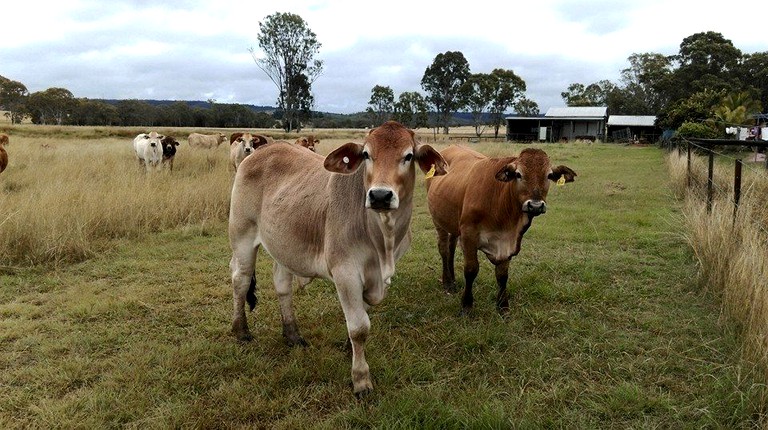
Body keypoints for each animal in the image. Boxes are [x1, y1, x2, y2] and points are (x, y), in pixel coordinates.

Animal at [225, 120, 448, 396]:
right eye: (366, 154)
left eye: (408, 156)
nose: (380, 196)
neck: (381, 238)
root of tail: (259, 151)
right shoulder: (346, 272)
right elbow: (359, 327)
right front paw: (361, 380)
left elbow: (361, 315)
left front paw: (348, 348)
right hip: (242, 236)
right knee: (241, 279)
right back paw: (241, 330)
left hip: (284, 245)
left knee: (282, 285)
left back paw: (292, 334)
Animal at [426, 144, 576, 312]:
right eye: (518, 174)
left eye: (549, 175)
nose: (535, 205)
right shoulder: (468, 234)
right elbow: (471, 270)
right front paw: (466, 305)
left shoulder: (508, 243)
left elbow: (502, 275)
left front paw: (503, 307)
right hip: (438, 221)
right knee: (444, 249)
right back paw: (447, 282)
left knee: (451, 248)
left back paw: (452, 280)